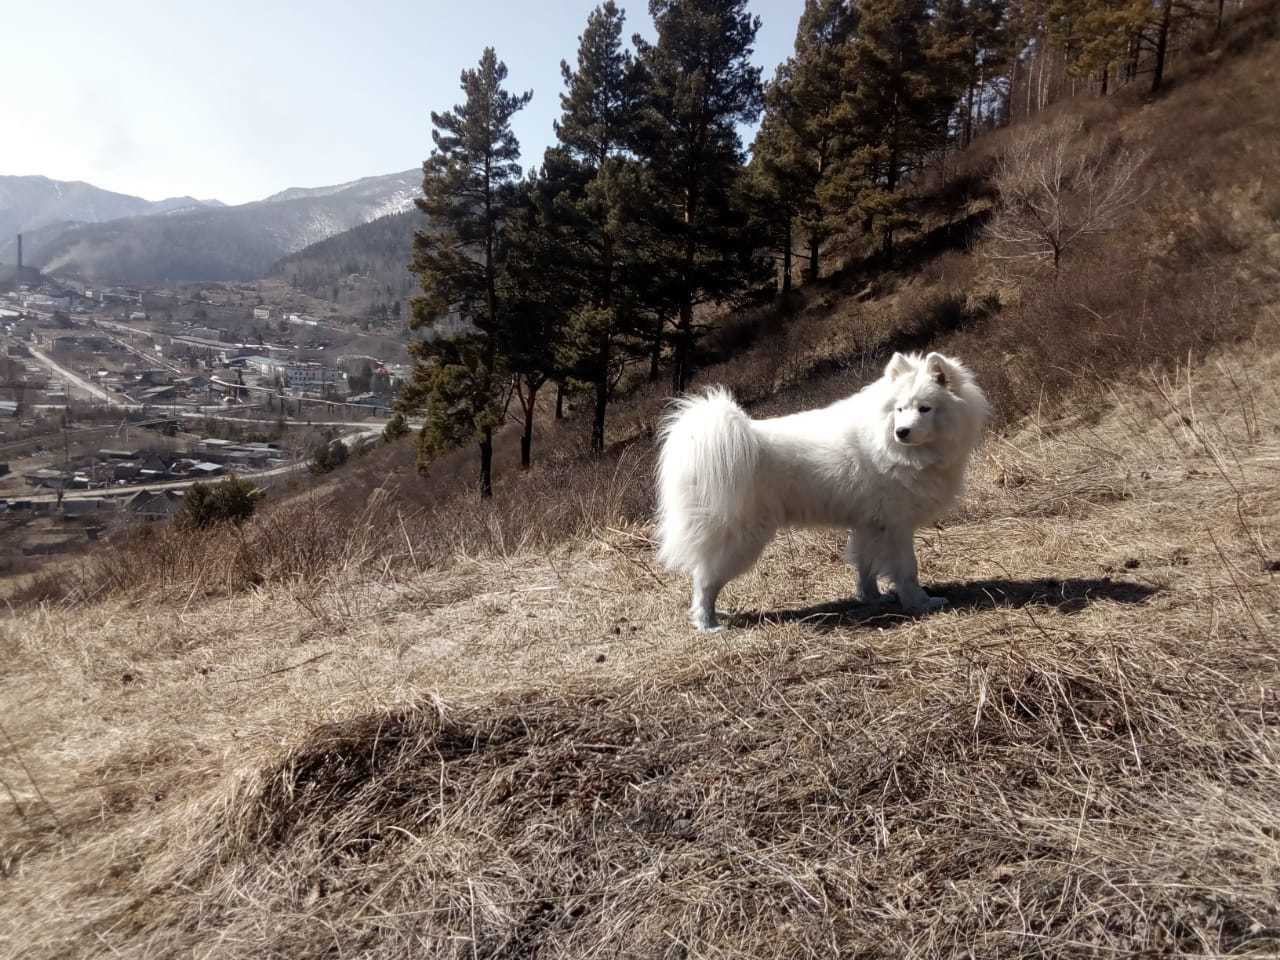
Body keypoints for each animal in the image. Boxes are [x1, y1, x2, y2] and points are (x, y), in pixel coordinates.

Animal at [655, 350, 993, 632]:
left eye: (925, 409)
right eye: (900, 409)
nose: (902, 432)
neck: (894, 448)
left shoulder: (870, 524)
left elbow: (866, 566)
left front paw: (872, 598)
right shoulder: (897, 525)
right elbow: (907, 569)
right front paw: (920, 603)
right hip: (741, 538)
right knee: (704, 580)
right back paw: (707, 623)